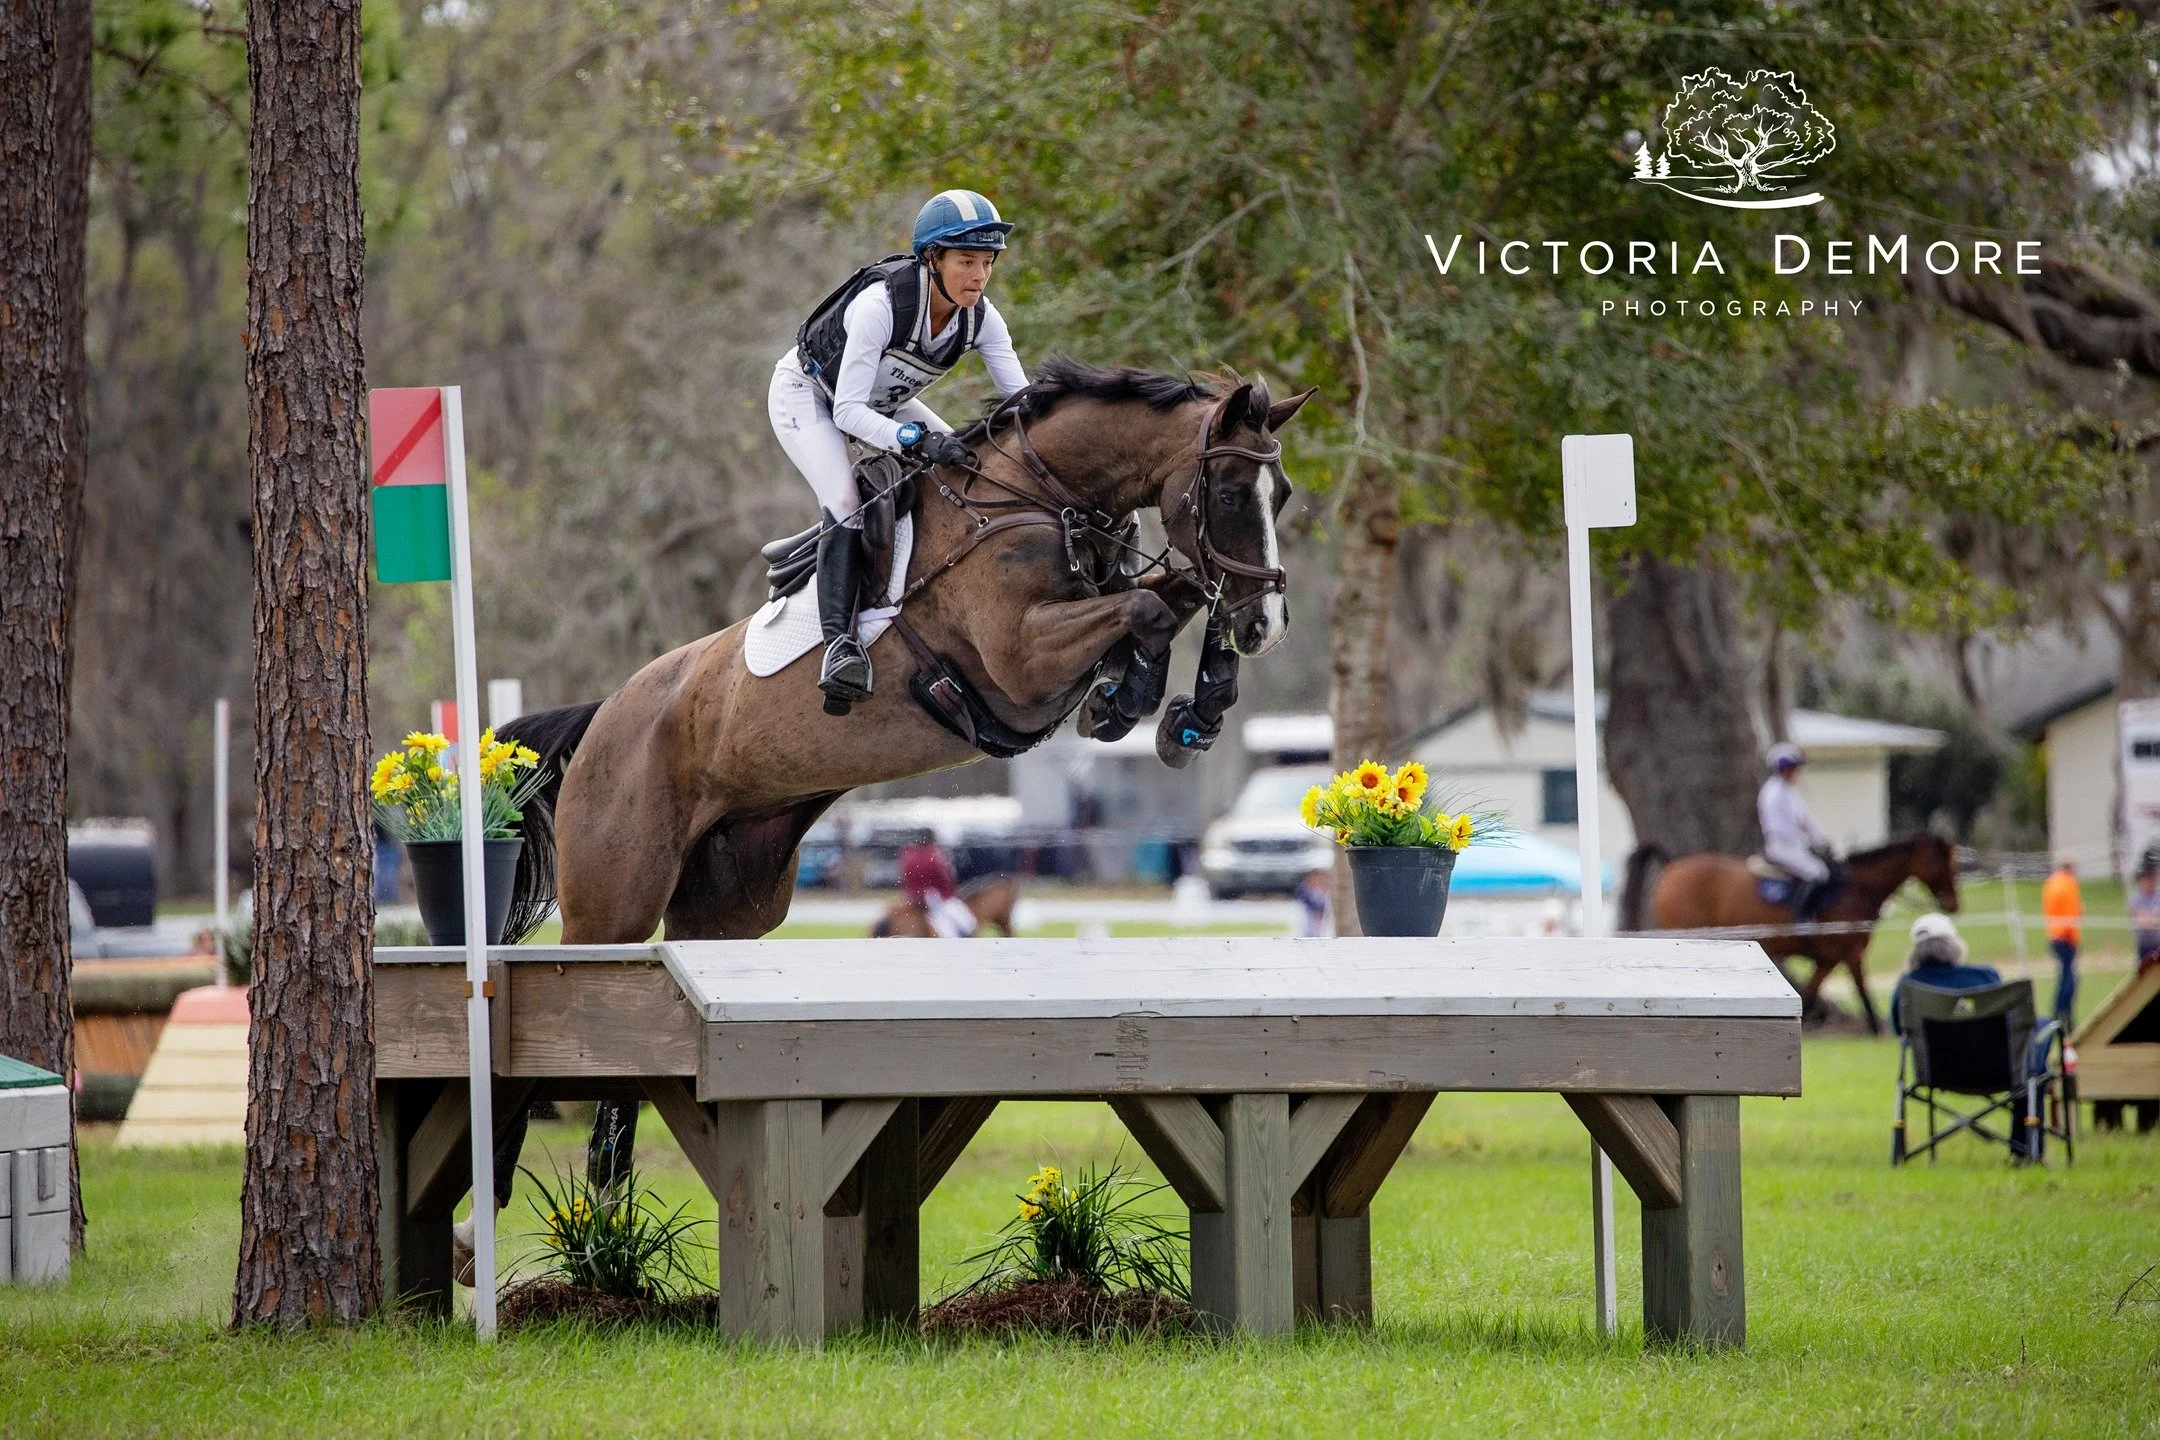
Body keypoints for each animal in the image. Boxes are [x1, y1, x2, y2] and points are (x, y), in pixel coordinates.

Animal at [1618, 834, 1960, 1035]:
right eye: (1939, 862)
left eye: (1955, 862)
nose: (1953, 904)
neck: (1855, 890)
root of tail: (1673, 866)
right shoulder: (1848, 954)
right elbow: (1861, 993)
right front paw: (1875, 1030)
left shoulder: (1830, 960)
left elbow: (1813, 993)